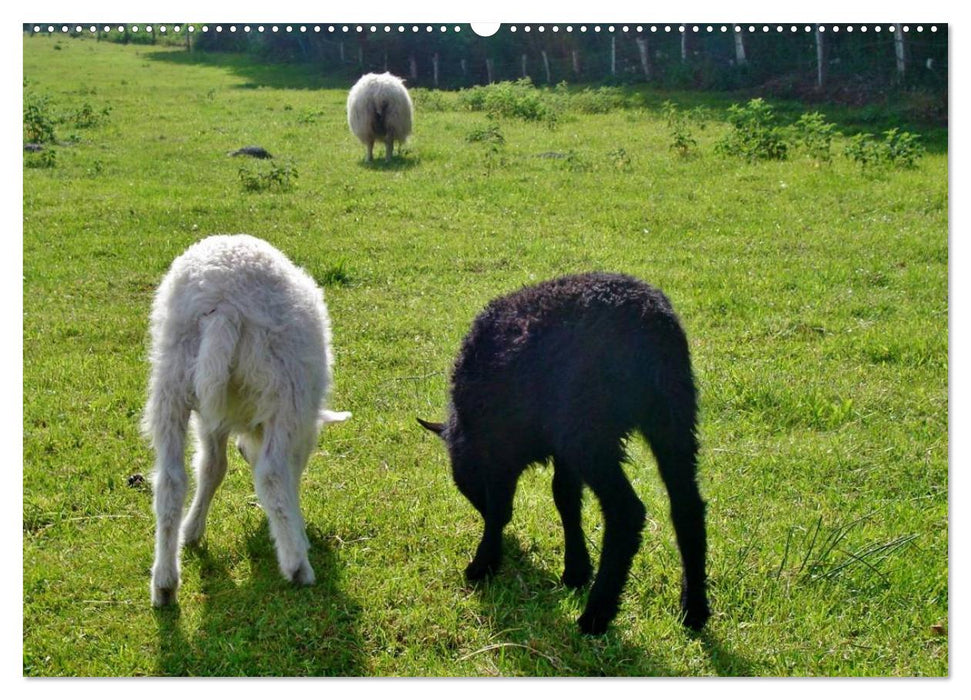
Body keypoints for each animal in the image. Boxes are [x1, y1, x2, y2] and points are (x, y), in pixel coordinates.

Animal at [142, 235, 352, 608]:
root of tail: (223, 303)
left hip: (171, 377)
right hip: (284, 387)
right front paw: (297, 533)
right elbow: (285, 475)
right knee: (270, 473)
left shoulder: (212, 420)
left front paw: (192, 531)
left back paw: (164, 583)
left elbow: (212, 468)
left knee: (170, 480)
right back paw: (298, 567)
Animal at [420, 274, 712, 636]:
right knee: (687, 505)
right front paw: (576, 570)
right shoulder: (560, 447)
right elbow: (566, 499)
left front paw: (483, 563)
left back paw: (597, 614)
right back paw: (694, 607)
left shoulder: (502, 444)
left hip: (589, 427)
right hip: (672, 413)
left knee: (626, 511)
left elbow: (501, 508)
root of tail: (647, 319)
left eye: (464, 483)